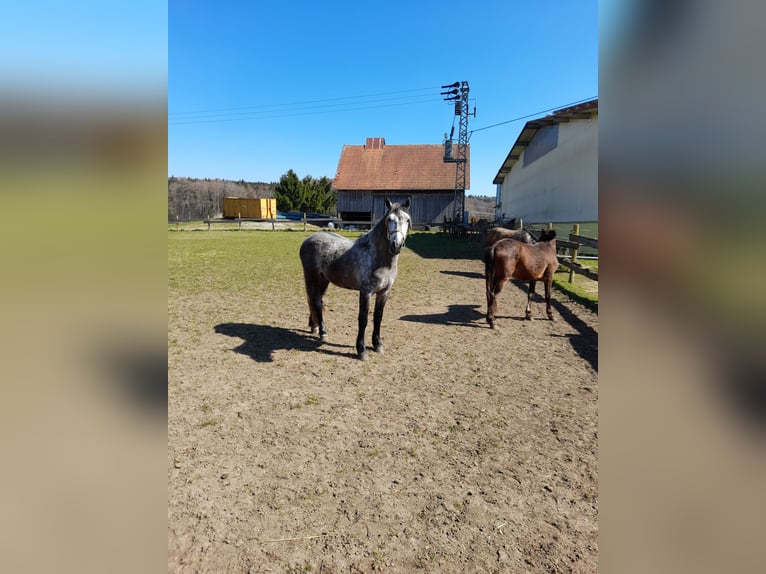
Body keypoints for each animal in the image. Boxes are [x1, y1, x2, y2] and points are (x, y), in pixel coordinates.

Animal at [299, 198, 411, 360]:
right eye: (389, 220)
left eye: (407, 220)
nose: (396, 245)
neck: (378, 258)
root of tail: (308, 239)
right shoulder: (366, 292)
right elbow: (363, 319)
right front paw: (361, 350)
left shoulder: (384, 292)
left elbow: (378, 317)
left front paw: (377, 345)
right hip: (311, 276)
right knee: (316, 302)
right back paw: (323, 332)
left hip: (324, 279)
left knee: (316, 300)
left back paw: (315, 327)